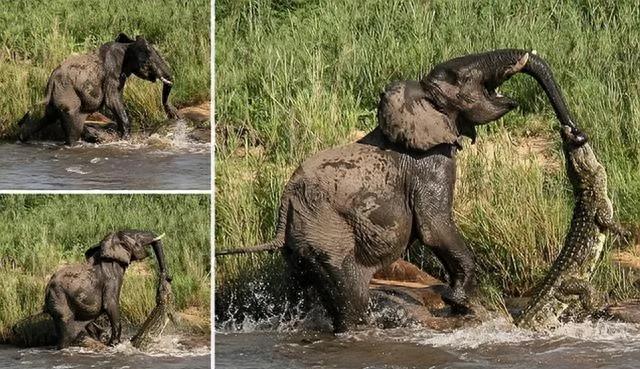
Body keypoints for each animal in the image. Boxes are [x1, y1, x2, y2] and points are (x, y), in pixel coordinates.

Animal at [18, 32, 179, 145]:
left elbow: (116, 99)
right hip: (67, 93)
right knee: (71, 125)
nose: (174, 115)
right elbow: (112, 101)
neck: (127, 46)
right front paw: (126, 139)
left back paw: (22, 138)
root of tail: (50, 82)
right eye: (149, 59)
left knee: (48, 117)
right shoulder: (111, 72)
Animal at [43, 229, 171, 346]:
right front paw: (115, 344)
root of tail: (47, 289)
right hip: (60, 300)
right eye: (137, 237)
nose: (168, 278)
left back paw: (100, 336)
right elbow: (110, 304)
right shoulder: (111, 278)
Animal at [218, 47, 584, 332]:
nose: (575, 134)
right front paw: (459, 302)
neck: (417, 97)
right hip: (327, 232)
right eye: (457, 77)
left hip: (302, 242)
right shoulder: (430, 164)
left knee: (302, 289)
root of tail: (286, 202)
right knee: (351, 296)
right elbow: (435, 228)